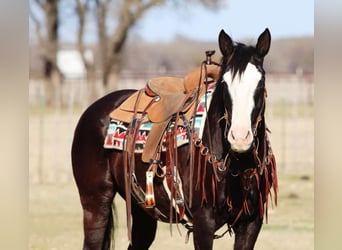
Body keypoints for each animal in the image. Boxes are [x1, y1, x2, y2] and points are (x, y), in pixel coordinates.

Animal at [72, 28, 278, 249]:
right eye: (224, 84)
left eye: (261, 83)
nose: (240, 137)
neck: (237, 166)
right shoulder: (203, 221)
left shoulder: (251, 223)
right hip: (95, 203)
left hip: (142, 210)